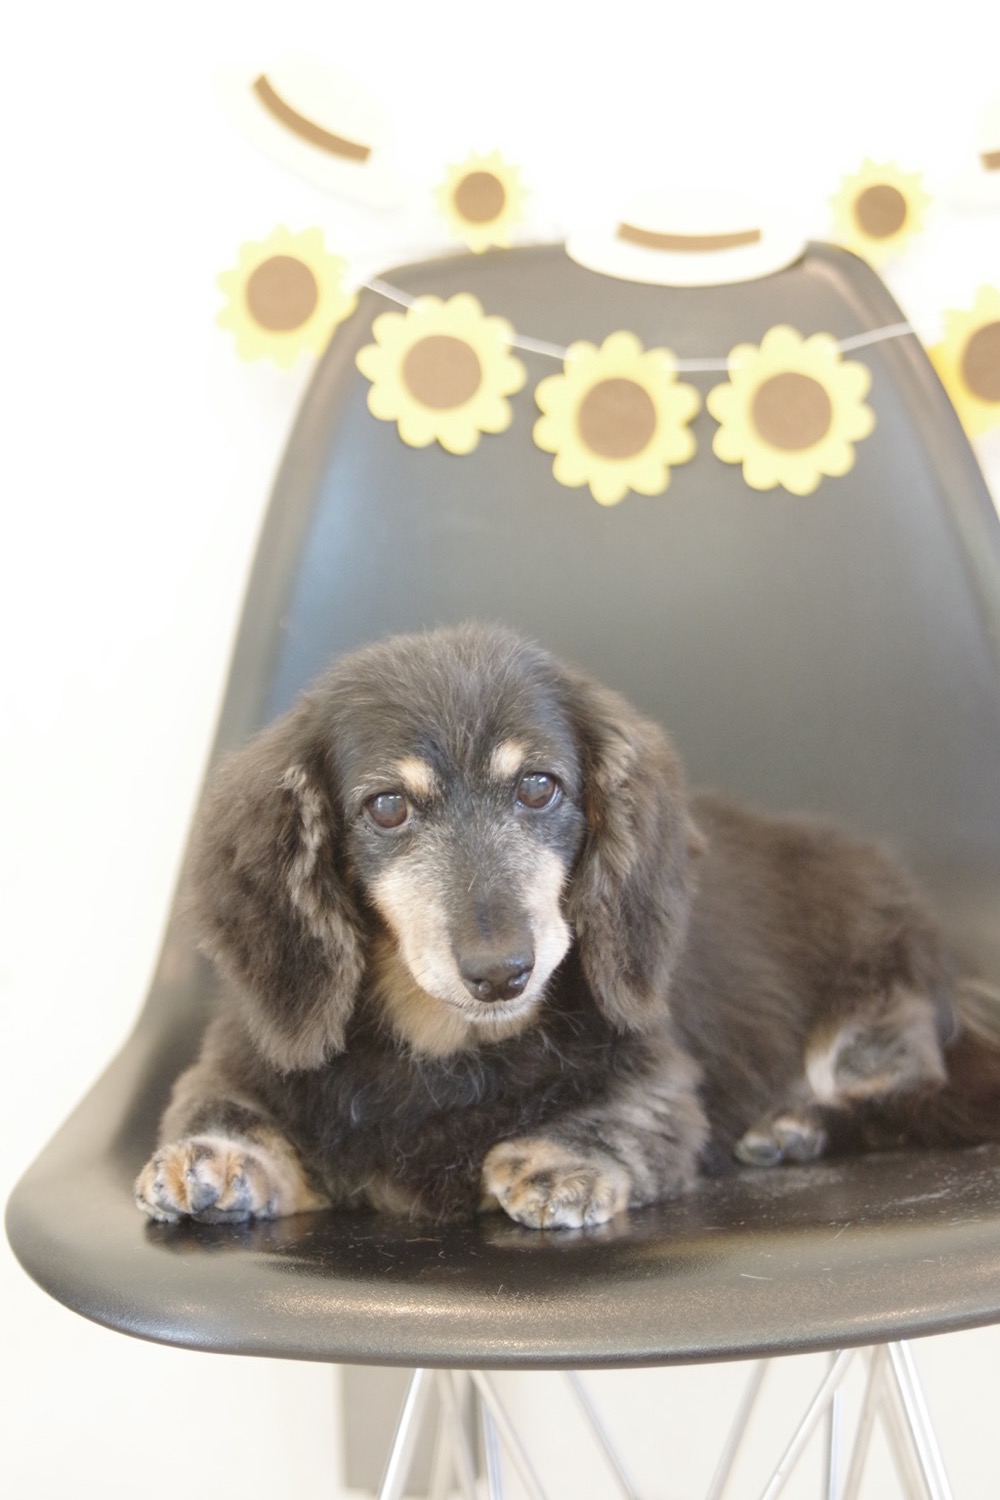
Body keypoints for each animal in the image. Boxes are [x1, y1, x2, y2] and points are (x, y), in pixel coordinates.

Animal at [135, 623, 1000, 1230]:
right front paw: (215, 1158)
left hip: (868, 1022)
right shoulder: (239, 1064)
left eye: (539, 787)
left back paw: (796, 1125)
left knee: (904, 1093)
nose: (501, 970)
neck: (450, 1047)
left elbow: (630, 1116)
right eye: (387, 806)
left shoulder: (660, 1081)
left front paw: (557, 1159)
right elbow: (220, 1108)